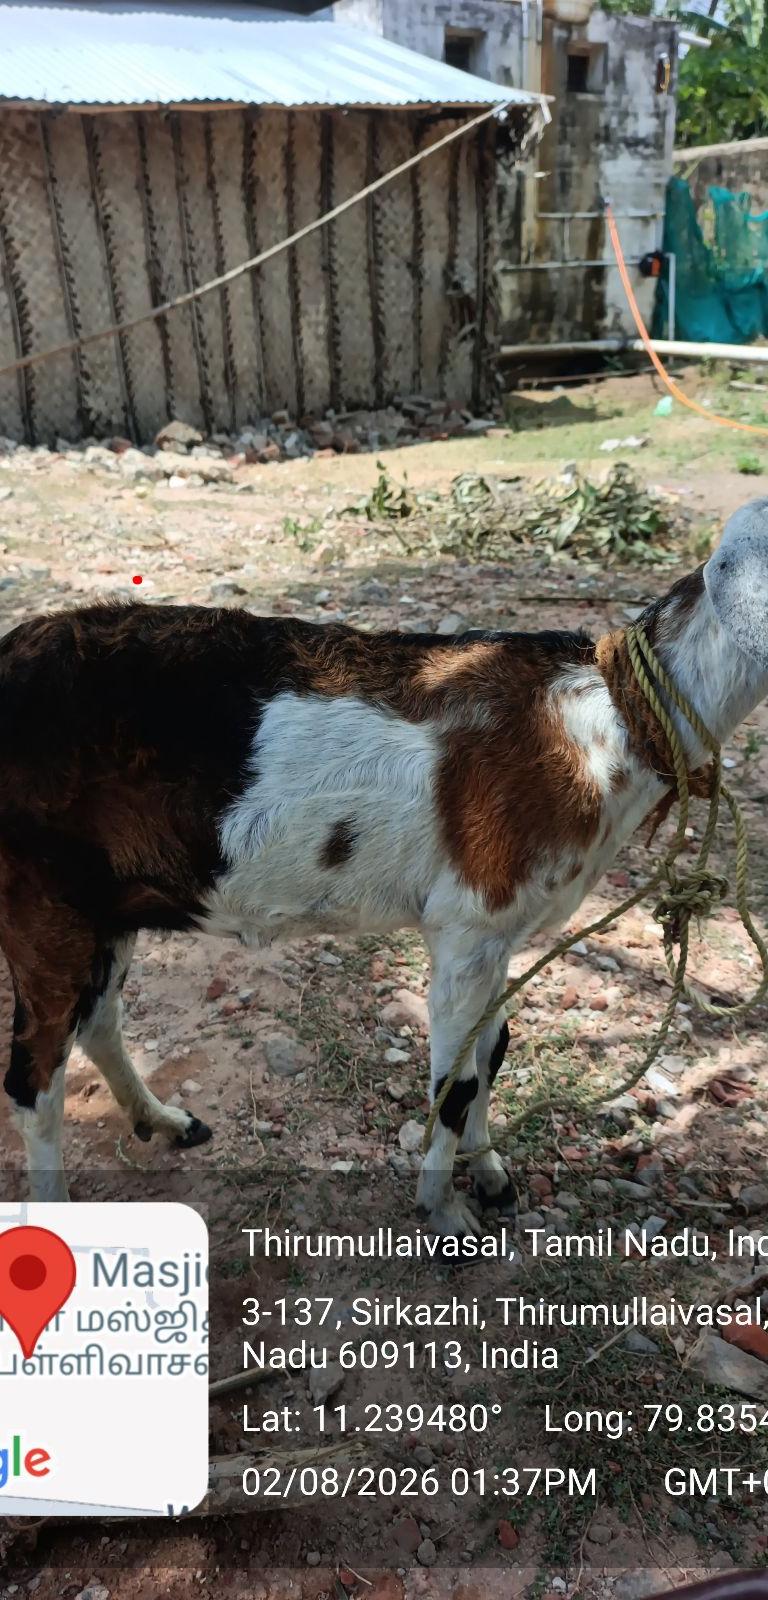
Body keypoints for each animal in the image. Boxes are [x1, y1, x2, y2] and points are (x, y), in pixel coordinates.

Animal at [1, 499, 767, 1236]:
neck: (598, 725)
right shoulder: (470, 923)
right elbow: (457, 1080)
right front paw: (444, 1214)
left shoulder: (499, 935)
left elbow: (492, 1049)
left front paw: (491, 1175)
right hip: (41, 905)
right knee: (33, 1078)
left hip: (108, 903)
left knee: (97, 1023)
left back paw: (161, 1121)